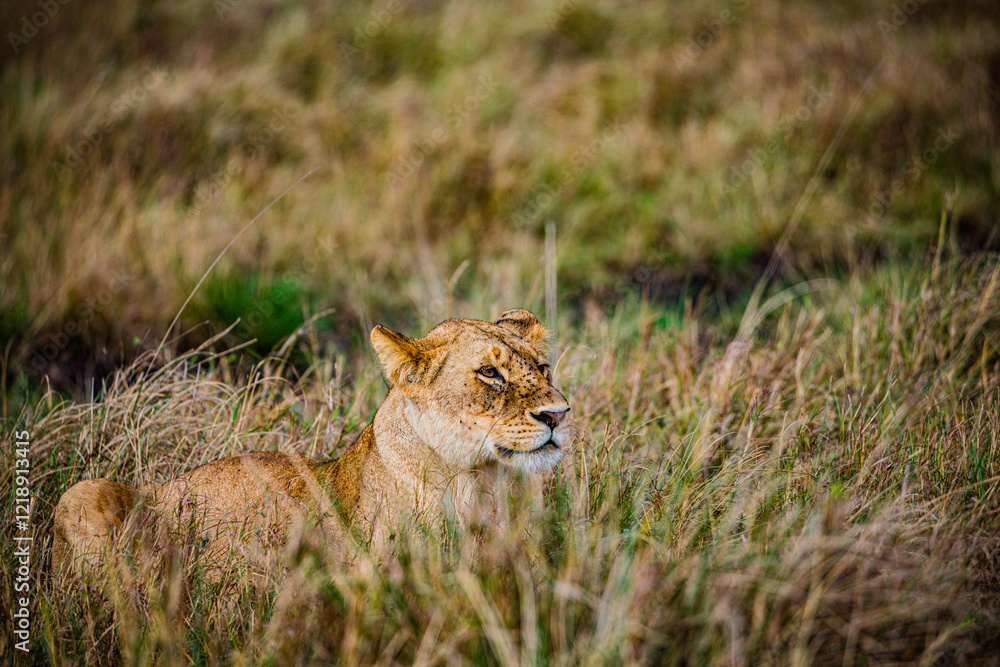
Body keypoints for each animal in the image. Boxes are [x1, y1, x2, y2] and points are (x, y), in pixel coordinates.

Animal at [51, 309, 571, 577]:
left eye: (543, 368)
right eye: (490, 373)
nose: (557, 415)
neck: (484, 483)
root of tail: (156, 489)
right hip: (83, 492)